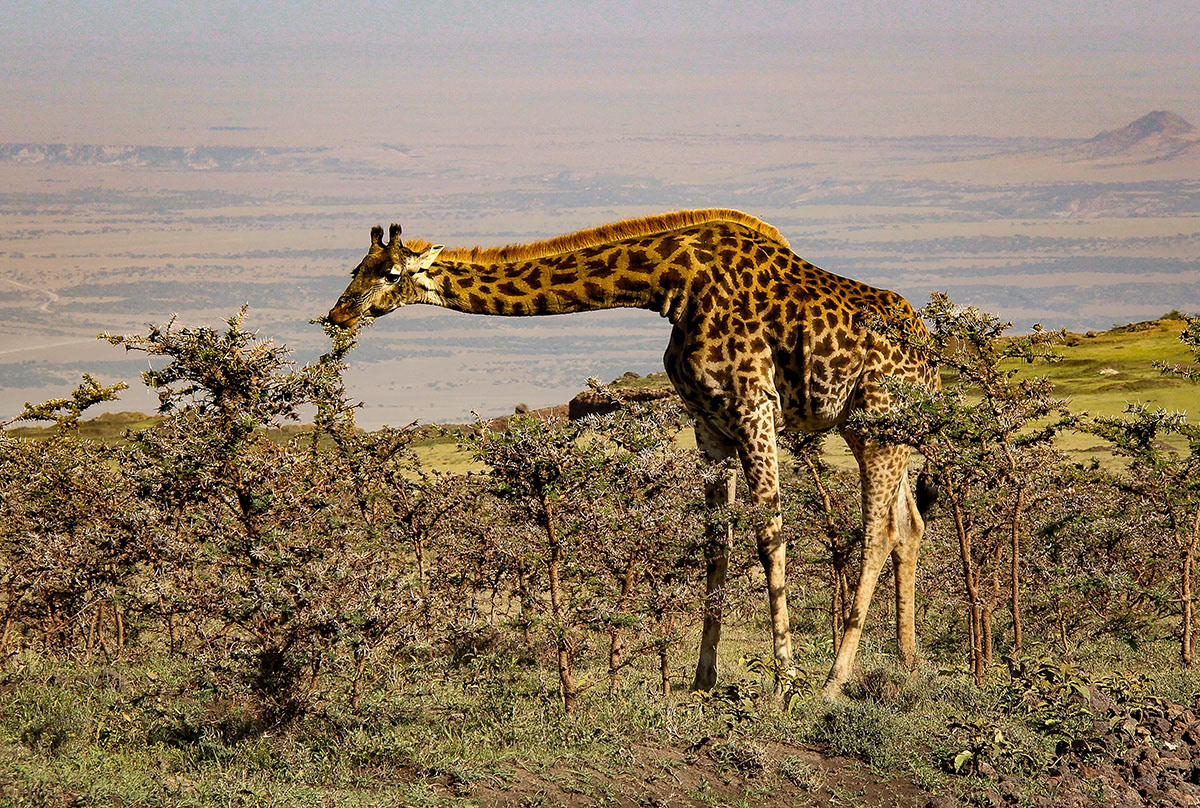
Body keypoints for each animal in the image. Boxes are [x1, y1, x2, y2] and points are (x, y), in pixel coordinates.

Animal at [326, 209, 940, 697]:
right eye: (354, 270)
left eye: (389, 273)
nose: (338, 316)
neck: (670, 284)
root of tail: (929, 353)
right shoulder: (710, 425)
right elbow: (715, 542)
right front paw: (702, 680)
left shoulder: (754, 407)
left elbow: (769, 535)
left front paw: (783, 684)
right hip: (880, 430)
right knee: (909, 525)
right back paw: (908, 665)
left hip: (878, 423)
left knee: (879, 532)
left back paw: (834, 682)